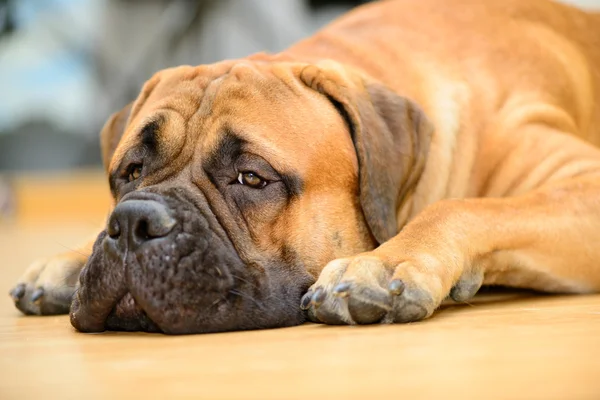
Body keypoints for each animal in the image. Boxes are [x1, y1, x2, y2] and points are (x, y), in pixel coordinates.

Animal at [8, 0, 600, 332]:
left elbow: (461, 207)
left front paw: (380, 264)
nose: (133, 223)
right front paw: (66, 261)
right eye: (130, 172)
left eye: (251, 178)